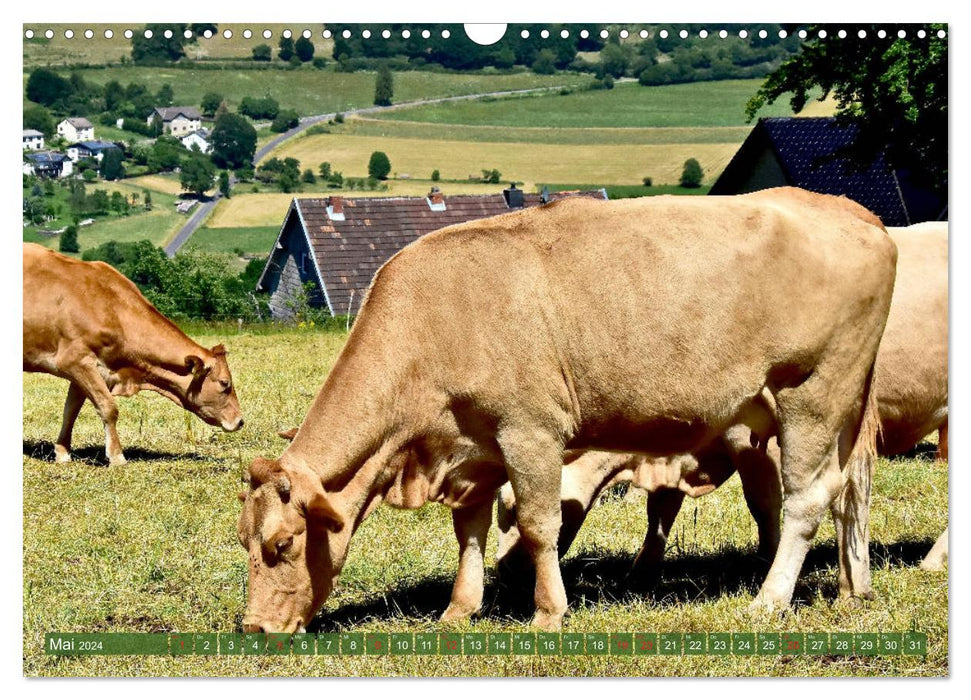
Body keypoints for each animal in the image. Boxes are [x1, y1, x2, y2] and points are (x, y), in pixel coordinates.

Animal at [22, 243, 245, 468]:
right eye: (225, 383)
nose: (240, 420)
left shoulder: (87, 371)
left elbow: (71, 411)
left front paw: (62, 453)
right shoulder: (74, 360)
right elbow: (109, 407)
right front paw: (117, 456)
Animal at [235, 187, 896, 636]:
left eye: (284, 544)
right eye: (243, 541)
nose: (254, 629)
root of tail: (852, 212)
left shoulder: (530, 432)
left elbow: (537, 524)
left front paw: (549, 612)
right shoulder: (473, 448)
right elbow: (469, 530)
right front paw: (459, 609)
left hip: (811, 394)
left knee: (807, 499)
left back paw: (769, 599)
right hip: (840, 407)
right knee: (849, 490)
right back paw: (851, 589)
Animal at [498, 220, 944, 576]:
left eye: (510, 509)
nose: (504, 573)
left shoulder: (751, 439)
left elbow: (764, 502)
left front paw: (768, 557)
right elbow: (662, 507)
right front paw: (644, 566)